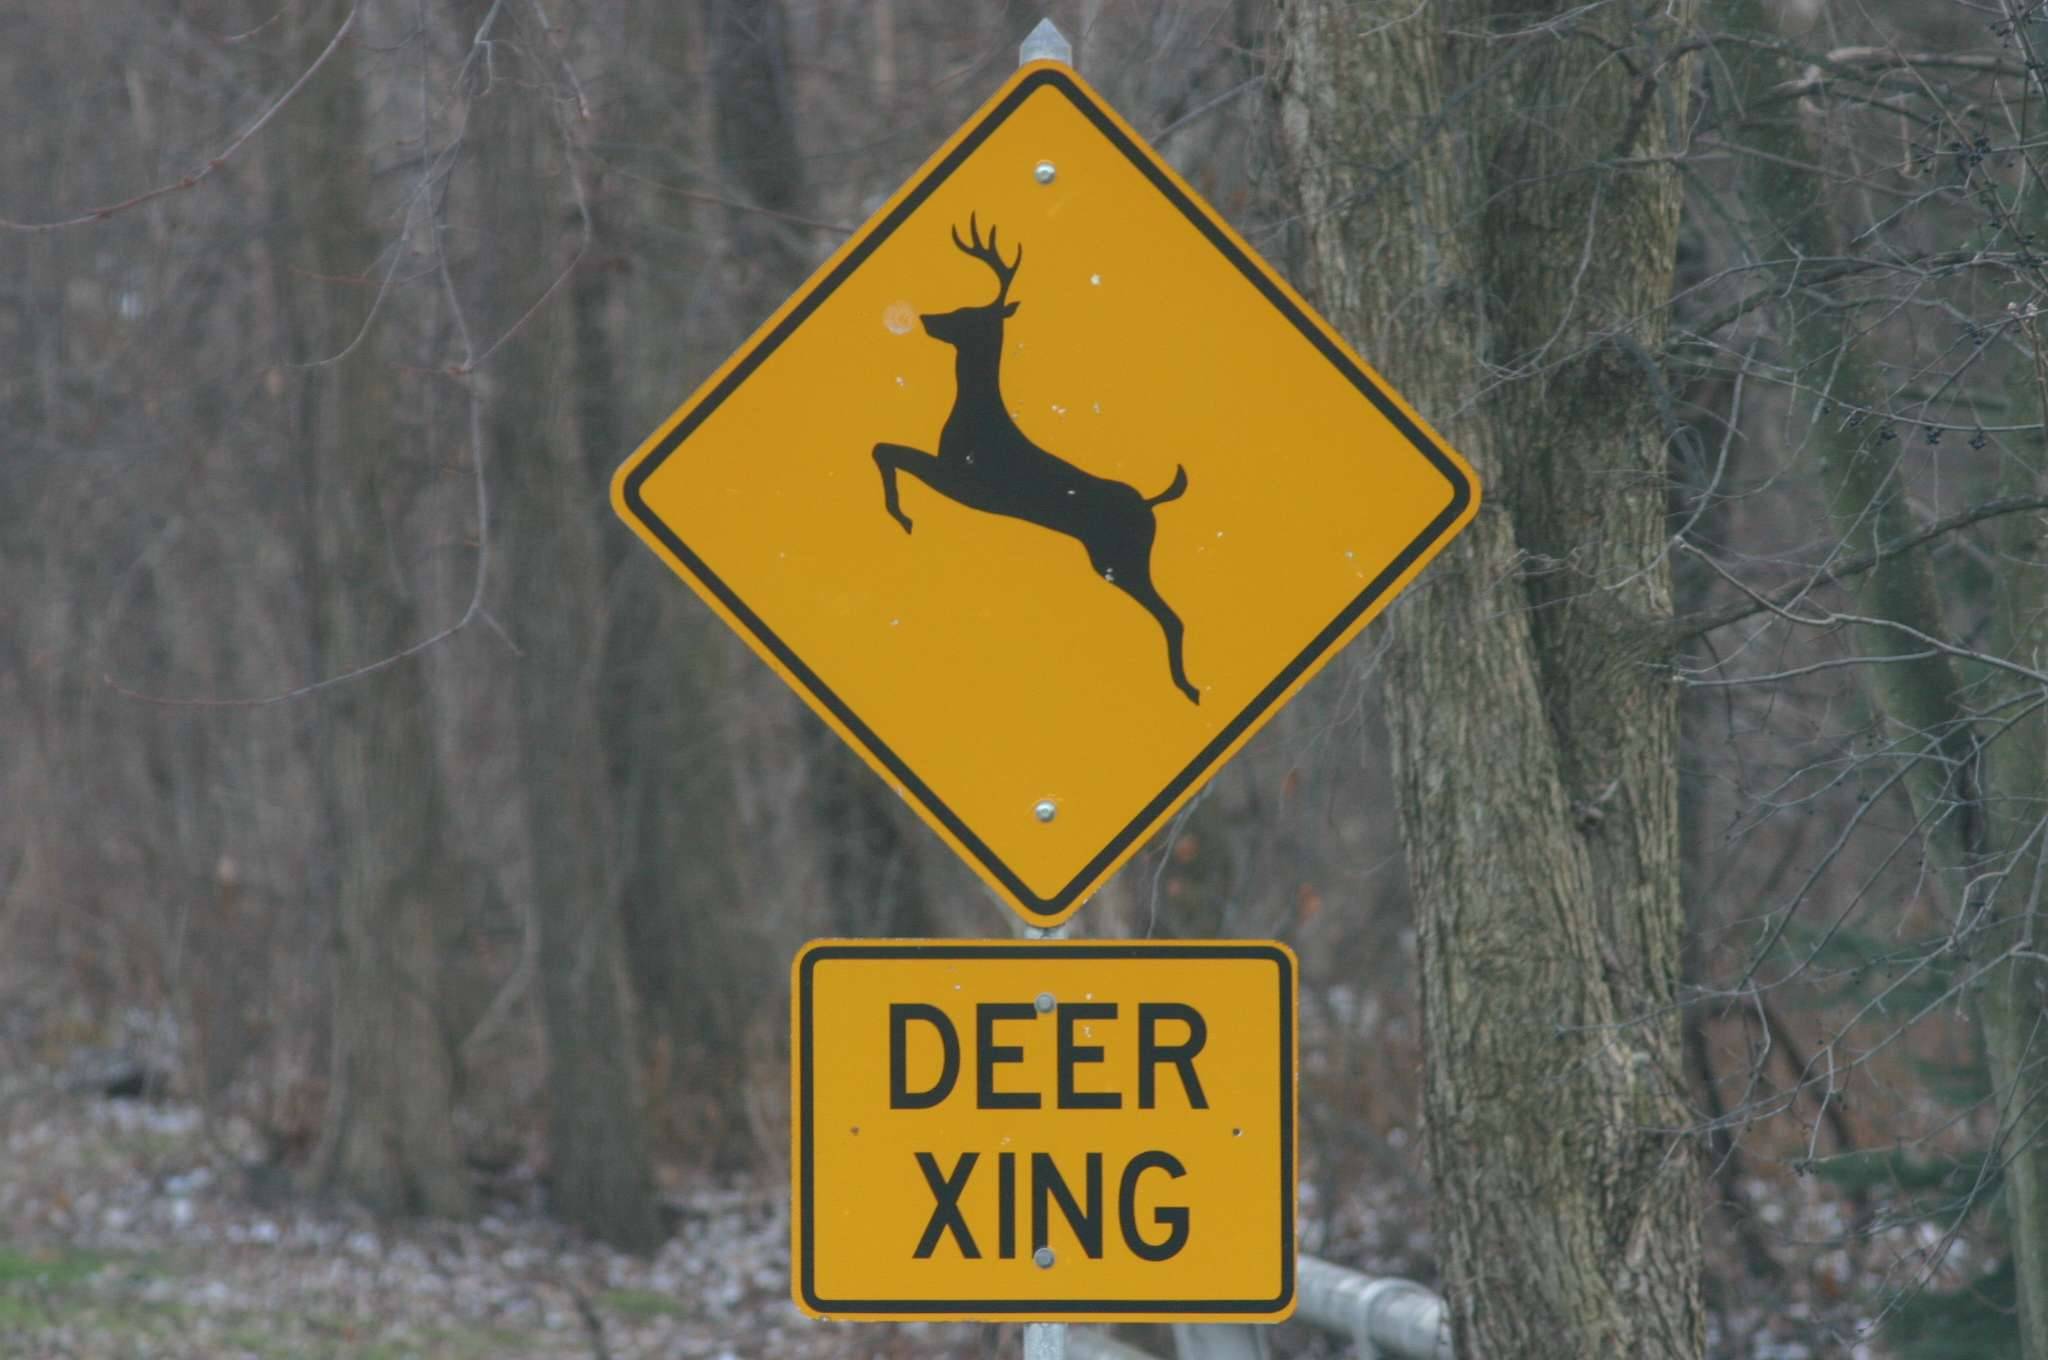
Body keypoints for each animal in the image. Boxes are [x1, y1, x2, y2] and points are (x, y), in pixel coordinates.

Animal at [872, 215, 1200, 706]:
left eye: (968, 314)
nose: (927, 319)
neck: (975, 412)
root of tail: (1151, 503)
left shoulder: (964, 480)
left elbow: (886, 450)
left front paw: (903, 516)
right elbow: (886, 450)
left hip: (1120, 558)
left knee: (1172, 616)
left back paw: (1189, 689)